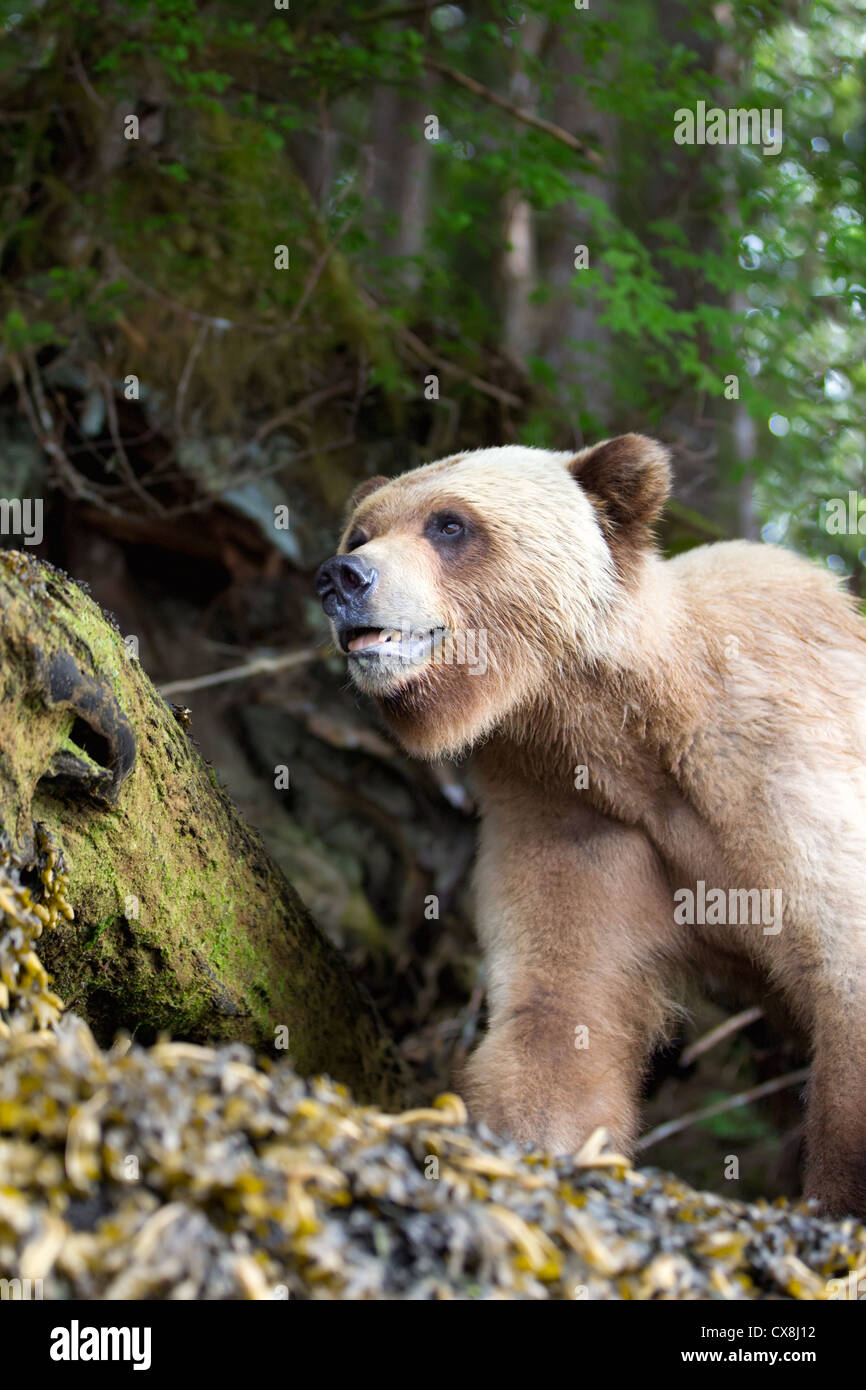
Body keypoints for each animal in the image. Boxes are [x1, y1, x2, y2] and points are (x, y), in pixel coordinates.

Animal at [315, 436, 866, 1217]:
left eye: (449, 524)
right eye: (360, 531)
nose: (342, 577)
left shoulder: (775, 762)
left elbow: (845, 966)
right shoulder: (572, 815)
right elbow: (563, 998)